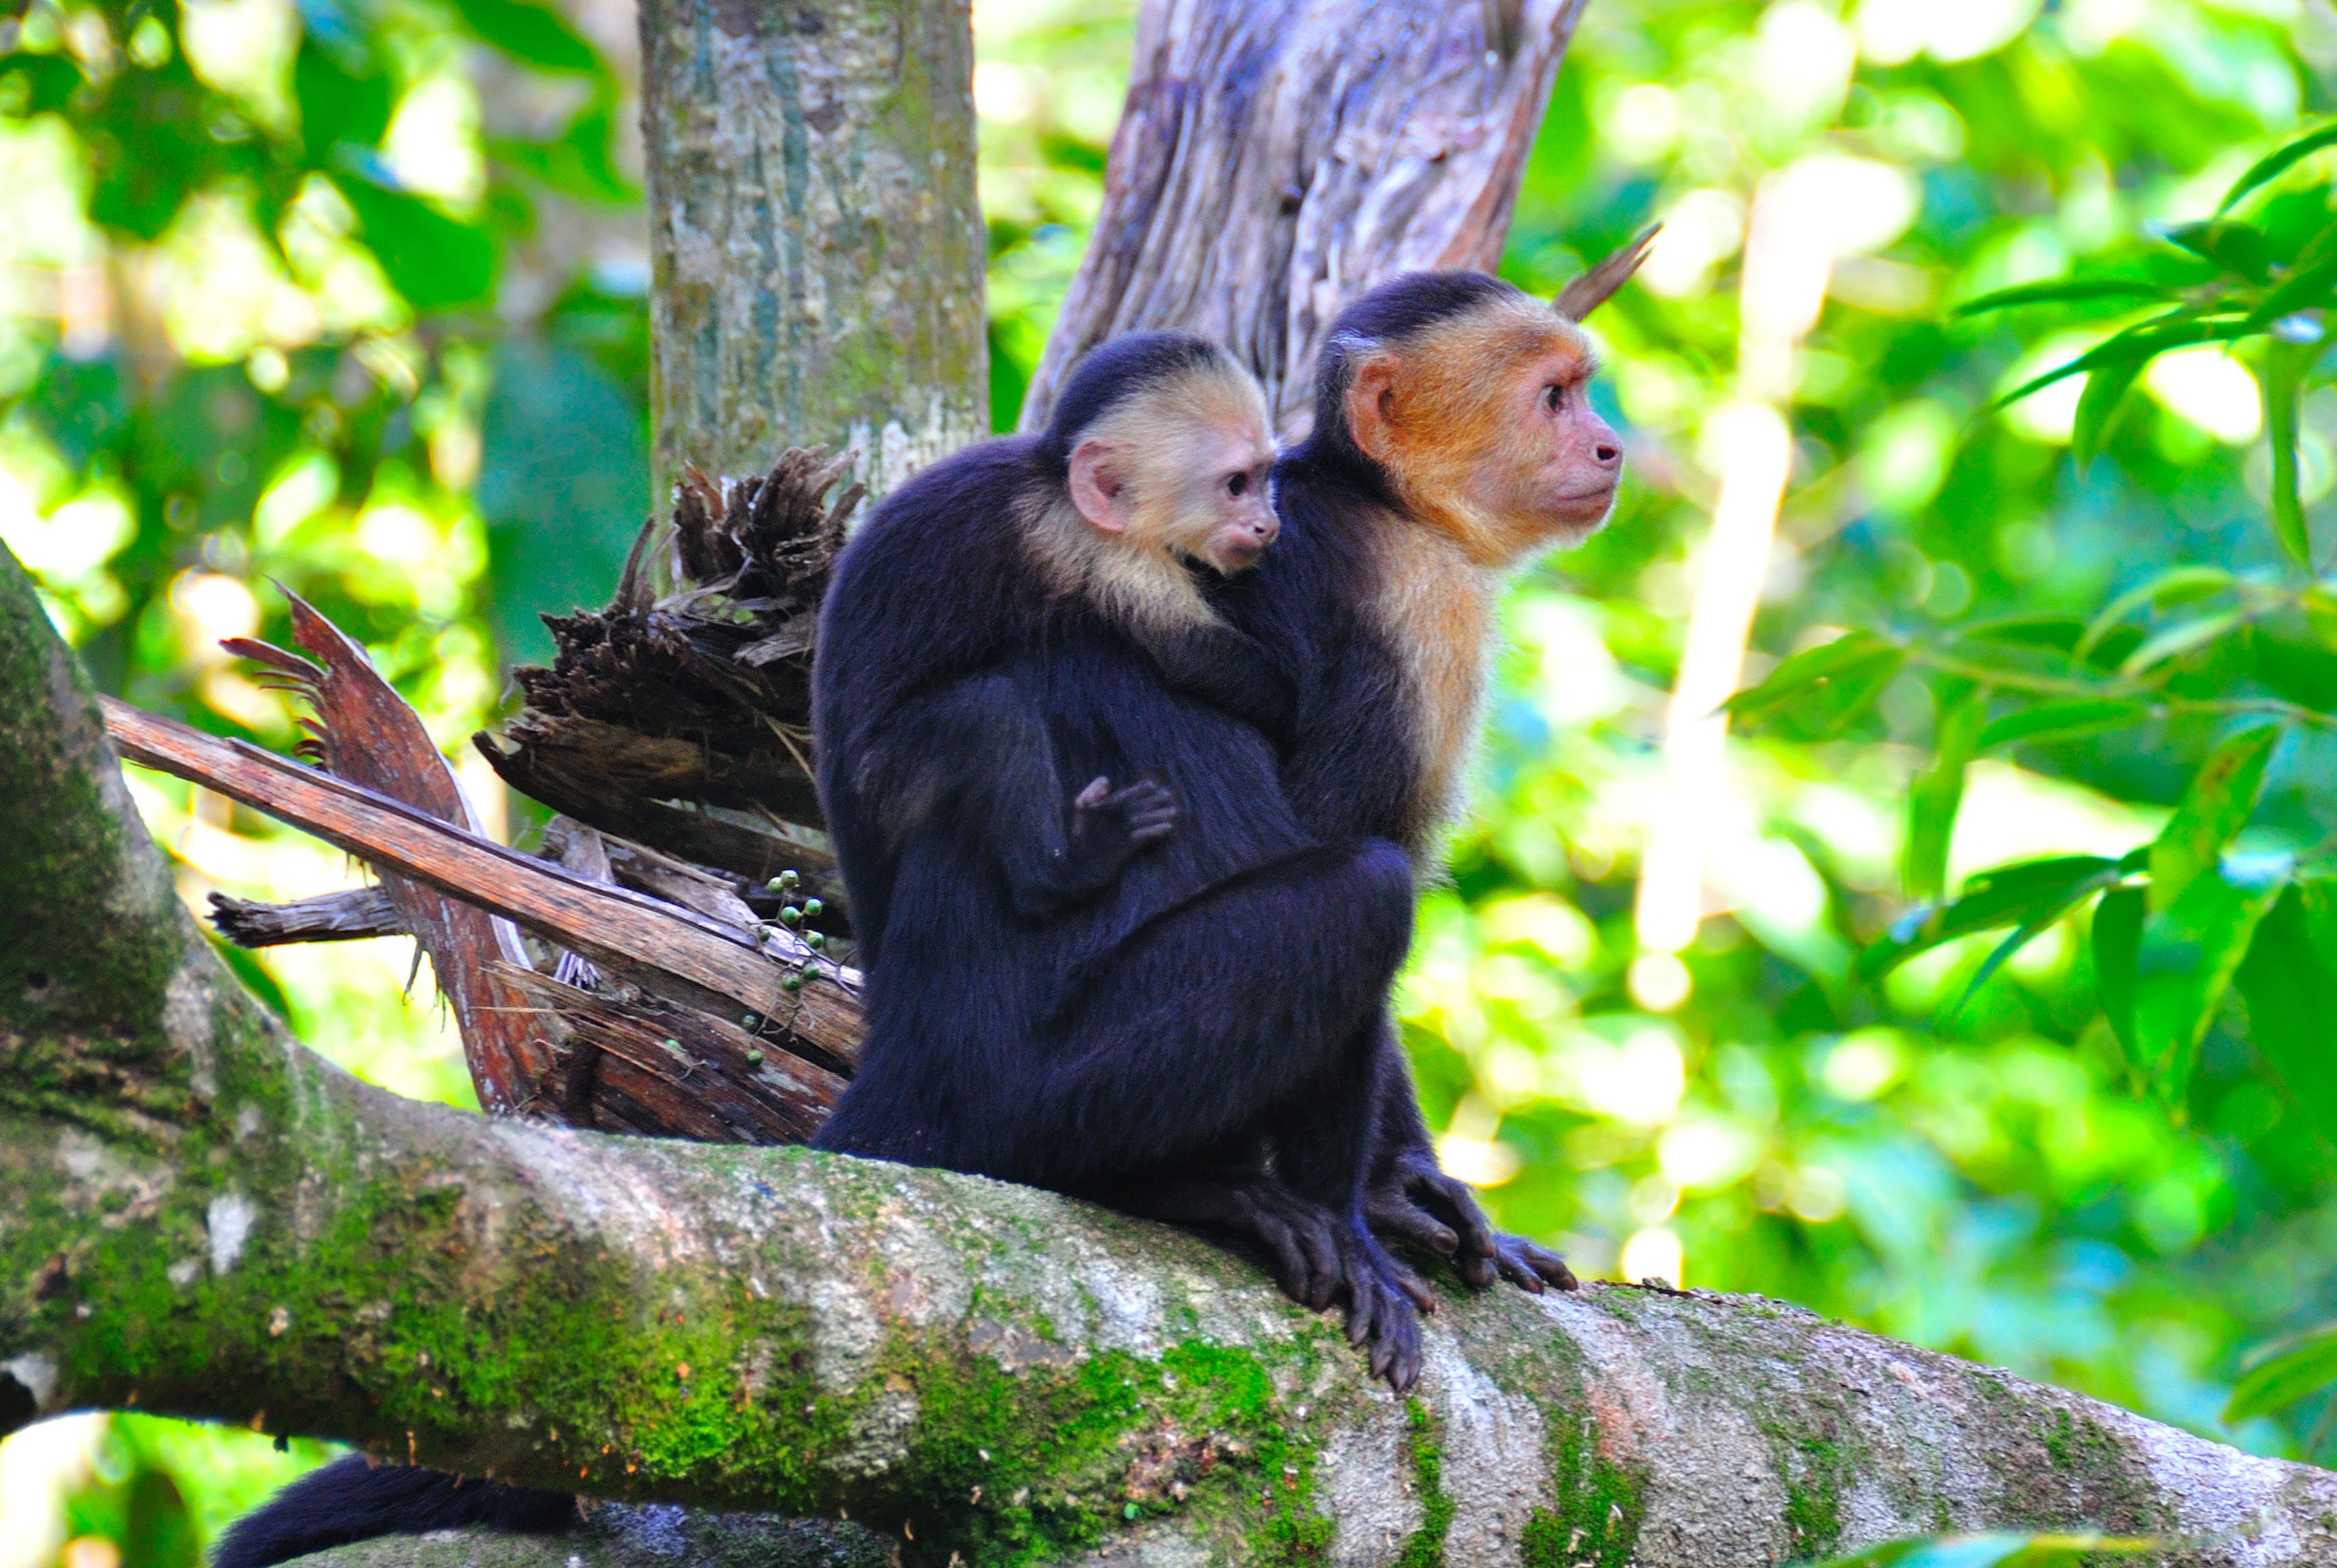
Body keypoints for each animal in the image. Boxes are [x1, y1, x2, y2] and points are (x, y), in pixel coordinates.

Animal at [1212, 266, 1635, 1297]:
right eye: (1553, 398)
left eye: (1581, 391)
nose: (1610, 445)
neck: (1380, 500)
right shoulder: (1419, 609)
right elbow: (1346, 863)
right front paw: (1385, 1191)